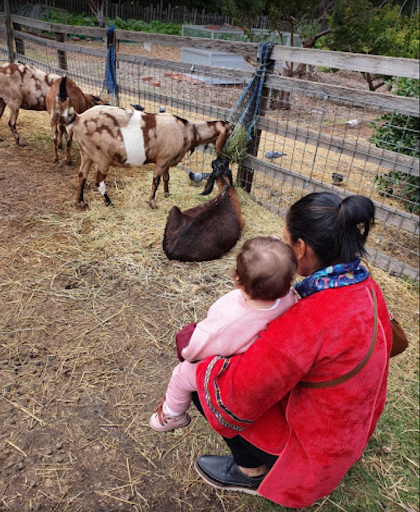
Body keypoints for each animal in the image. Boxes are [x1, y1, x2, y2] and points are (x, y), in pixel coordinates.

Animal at [64, 105, 231, 209]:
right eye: (229, 133)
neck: (189, 131)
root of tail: (78, 118)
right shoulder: (162, 160)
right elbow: (156, 181)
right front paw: (153, 203)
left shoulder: (166, 160)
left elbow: (166, 178)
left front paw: (167, 194)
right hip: (101, 157)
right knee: (98, 181)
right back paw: (109, 203)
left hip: (86, 153)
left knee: (82, 175)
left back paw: (80, 201)